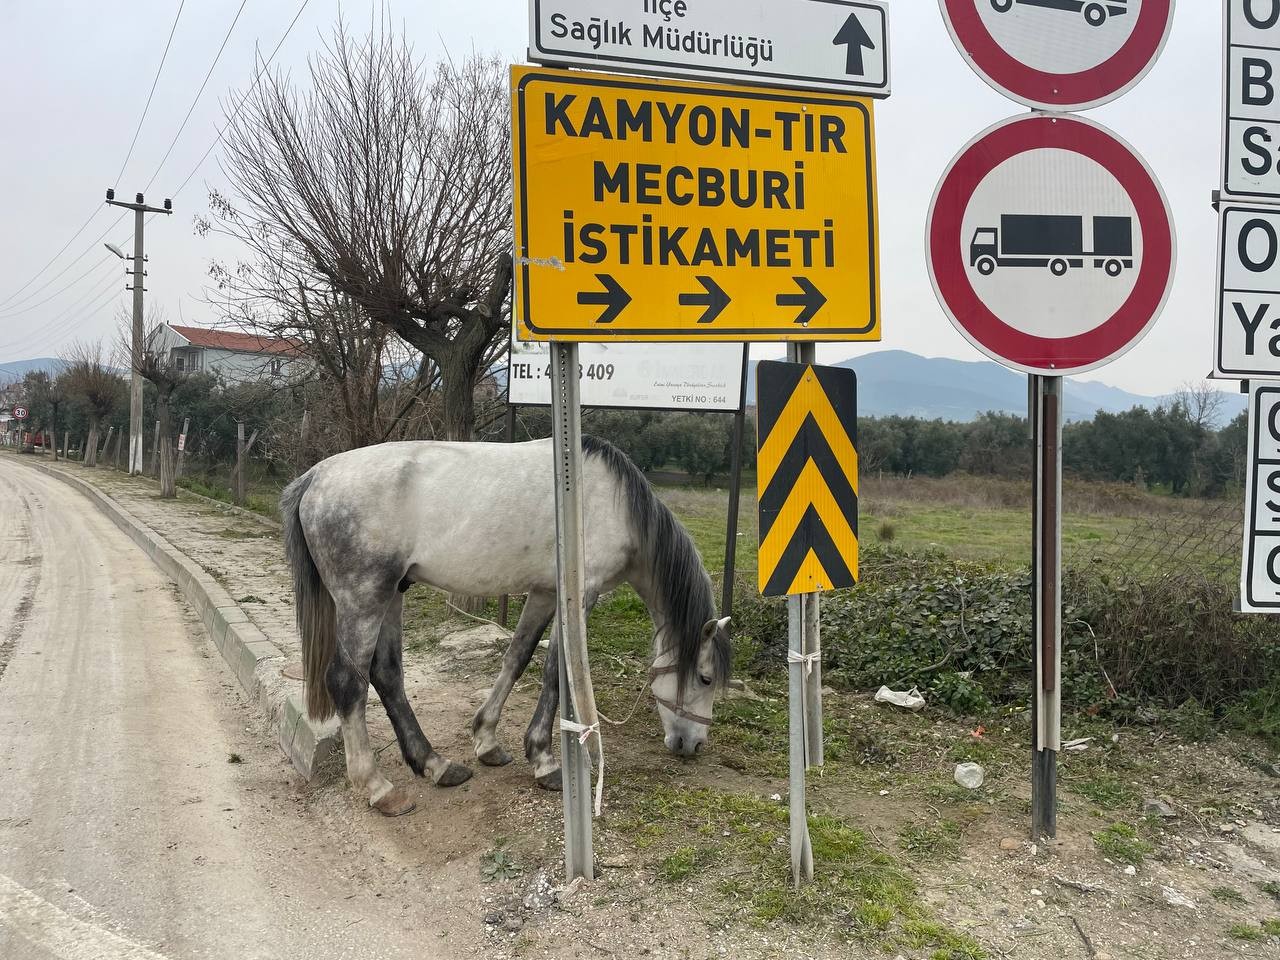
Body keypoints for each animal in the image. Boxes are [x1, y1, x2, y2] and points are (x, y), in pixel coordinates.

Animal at [285, 440, 737, 814]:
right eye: (705, 678)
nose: (693, 744)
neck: (614, 503)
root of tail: (314, 478)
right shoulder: (578, 596)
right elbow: (556, 673)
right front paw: (544, 761)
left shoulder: (543, 592)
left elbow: (517, 657)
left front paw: (486, 739)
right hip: (365, 597)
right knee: (348, 682)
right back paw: (378, 787)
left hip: (393, 592)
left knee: (387, 674)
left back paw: (435, 764)